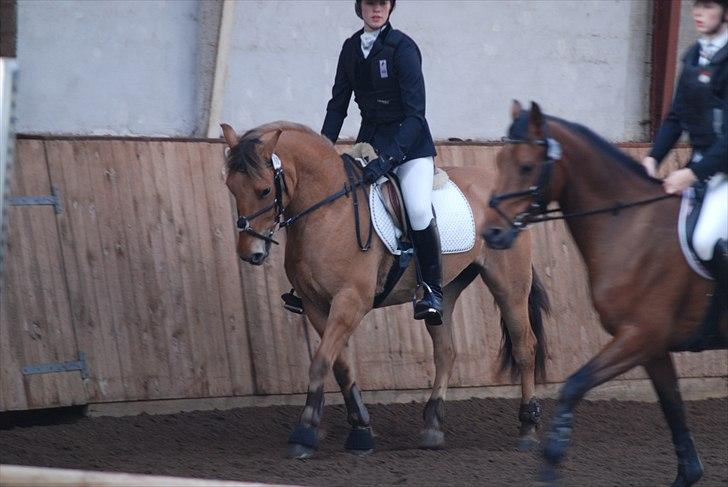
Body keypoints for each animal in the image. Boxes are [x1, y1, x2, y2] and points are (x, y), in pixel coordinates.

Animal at [219, 121, 548, 458]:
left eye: (264, 190)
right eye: (231, 187)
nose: (250, 253)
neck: (329, 211)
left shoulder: (351, 301)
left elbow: (321, 361)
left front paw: (305, 432)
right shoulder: (315, 305)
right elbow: (341, 365)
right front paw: (361, 430)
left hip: (508, 285)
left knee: (524, 347)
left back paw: (527, 428)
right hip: (445, 291)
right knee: (446, 351)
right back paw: (432, 427)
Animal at [480, 101, 724, 486]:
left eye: (526, 166)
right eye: (500, 161)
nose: (491, 233)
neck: (632, 226)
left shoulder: (638, 336)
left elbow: (573, 386)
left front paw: (550, 463)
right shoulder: (652, 346)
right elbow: (673, 407)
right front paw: (688, 473)